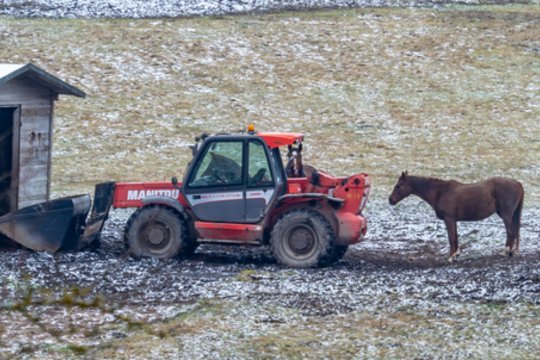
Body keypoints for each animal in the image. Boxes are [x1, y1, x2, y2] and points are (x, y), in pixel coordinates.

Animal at [388, 172, 524, 262]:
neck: (440, 192)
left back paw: (506, 252)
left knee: (510, 232)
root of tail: (517, 183)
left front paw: (451, 257)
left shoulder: (449, 219)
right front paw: (456, 254)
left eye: (398, 186)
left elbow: (451, 237)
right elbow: (455, 237)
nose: (390, 200)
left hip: (506, 215)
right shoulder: (453, 220)